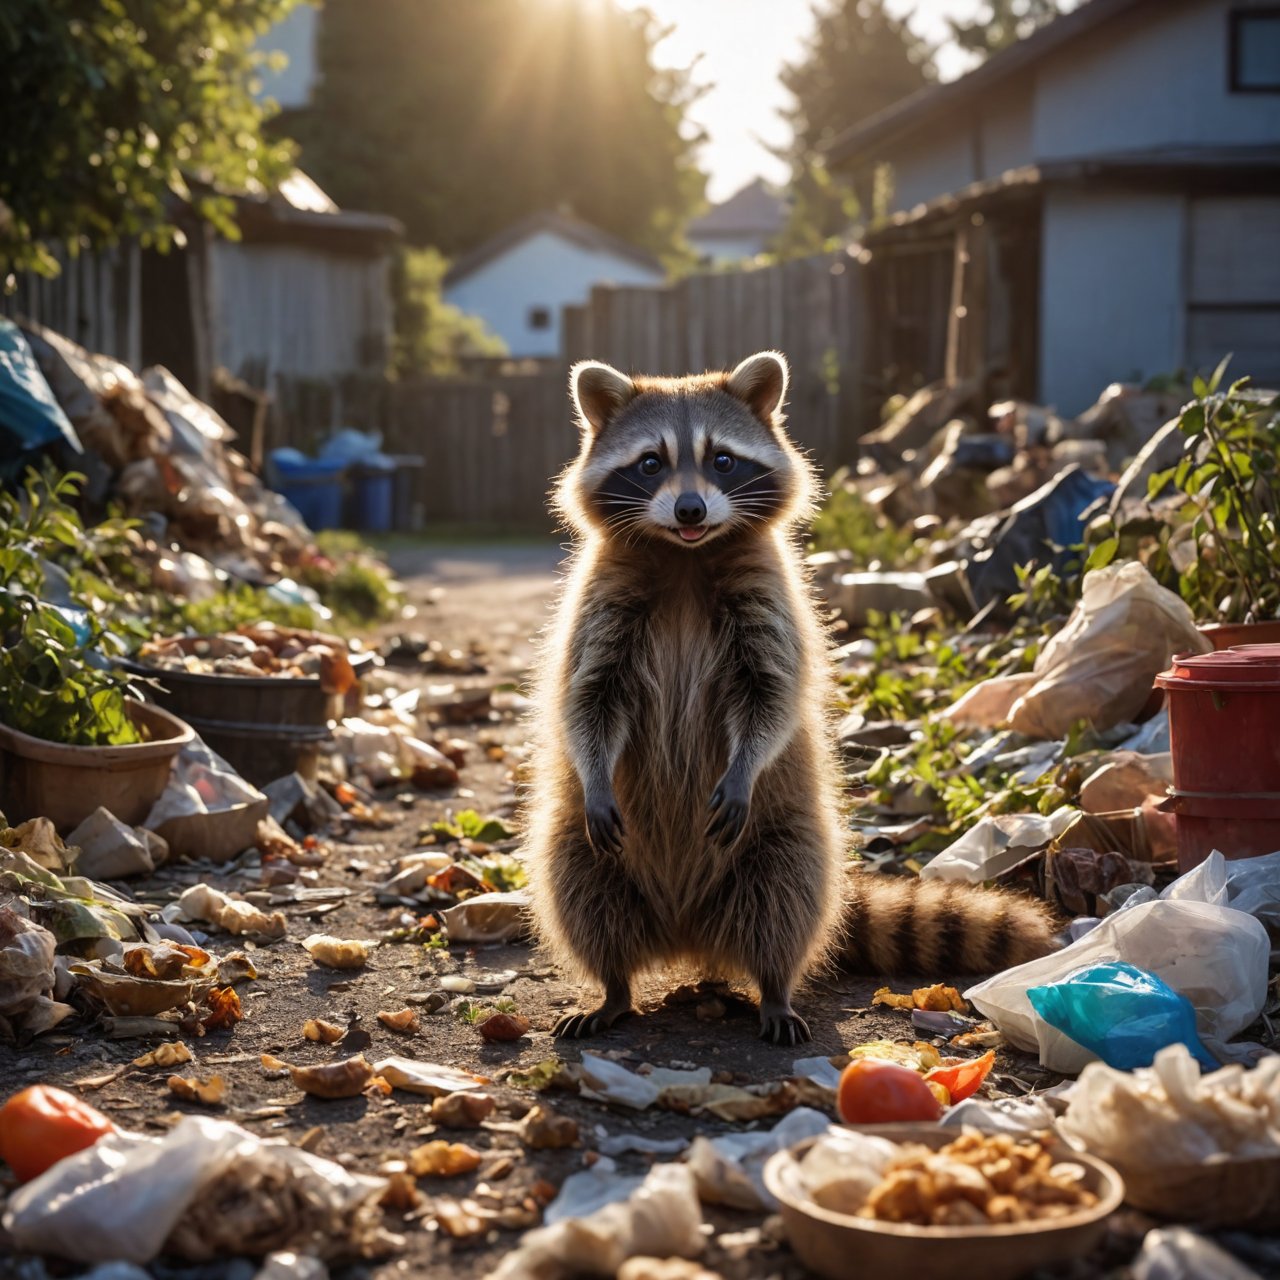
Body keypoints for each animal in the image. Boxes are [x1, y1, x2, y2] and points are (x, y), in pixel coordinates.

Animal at [522, 350, 1059, 1039]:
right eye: (650, 463)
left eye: (722, 459)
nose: (690, 510)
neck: (684, 557)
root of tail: (686, 932)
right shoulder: (601, 604)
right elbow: (587, 695)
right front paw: (593, 768)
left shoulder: (771, 599)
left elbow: (772, 694)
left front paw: (746, 762)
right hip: (587, 849)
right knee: (580, 891)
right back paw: (614, 987)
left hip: (782, 836)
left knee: (785, 898)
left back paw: (773, 986)